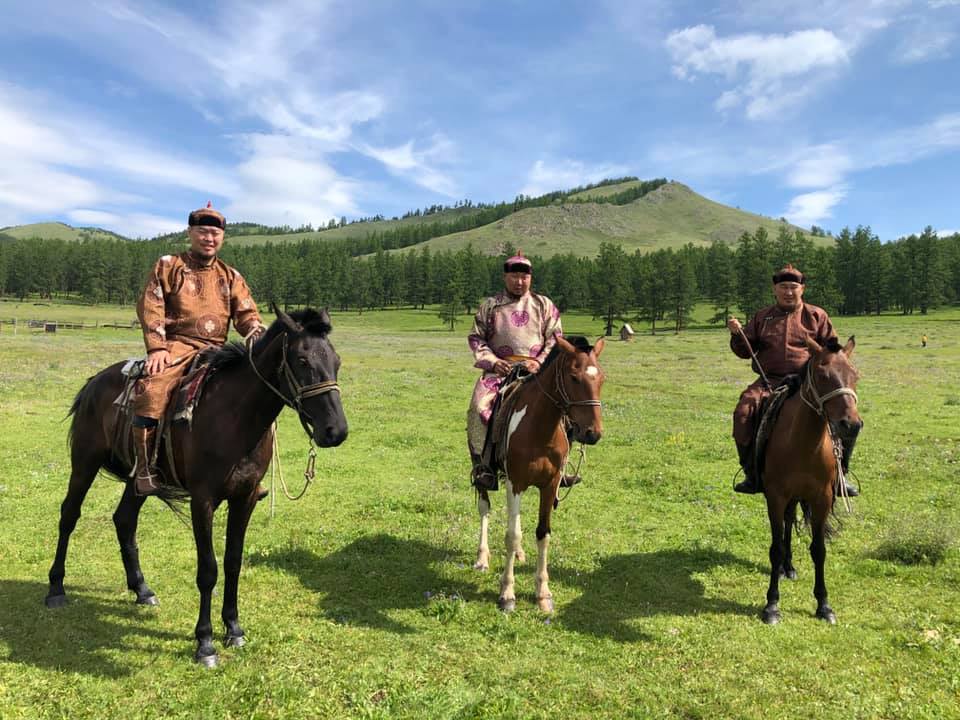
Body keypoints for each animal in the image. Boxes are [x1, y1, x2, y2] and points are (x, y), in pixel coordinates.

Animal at [45, 306, 350, 668]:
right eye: (302, 360)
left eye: (336, 361)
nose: (335, 431)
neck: (234, 417)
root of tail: (94, 382)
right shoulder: (202, 500)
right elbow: (208, 570)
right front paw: (205, 643)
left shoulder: (245, 498)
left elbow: (233, 561)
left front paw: (234, 628)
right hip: (84, 462)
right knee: (69, 515)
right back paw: (56, 589)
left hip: (138, 480)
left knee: (124, 520)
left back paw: (142, 589)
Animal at [474, 334, 604, 612]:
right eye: (574, 377)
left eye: (602, 377)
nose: (593, 433)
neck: (539, 428)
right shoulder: (516, 483)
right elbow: (511, 535)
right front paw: (507, 593)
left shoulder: (549, 485)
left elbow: (543, 534)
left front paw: (543, 593)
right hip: (483, 473)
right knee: (484, 509)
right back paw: (482, 558)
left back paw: (520, 554)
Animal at [756, 334, 864, 620]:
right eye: (822, 375)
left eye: (855, 375)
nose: (851, 424)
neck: (802, 443)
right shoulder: (775, 496)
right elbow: (776, 547)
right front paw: (771, 604)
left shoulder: (822, 498)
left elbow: (819, 549)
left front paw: (823, 604)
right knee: (787, 525)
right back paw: (785, 567)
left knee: (790, 521)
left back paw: (789, 567)